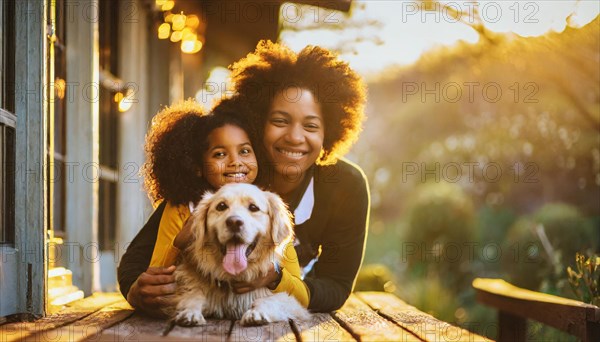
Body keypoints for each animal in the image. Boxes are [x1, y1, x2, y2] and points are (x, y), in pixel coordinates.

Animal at [171, 183, 308, 328]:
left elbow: (268, 300)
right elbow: (194, 296)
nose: (234, 222)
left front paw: (256, 313)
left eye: (253, 207)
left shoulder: (295, 304)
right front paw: (190, 312)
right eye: (221, 206)